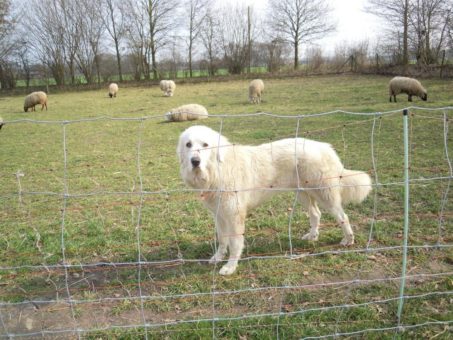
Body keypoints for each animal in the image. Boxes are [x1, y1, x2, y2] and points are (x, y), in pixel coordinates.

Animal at [177, 126, 370, 274]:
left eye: (205, 145)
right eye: (188, 145)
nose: (195, 161)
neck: (217, 169)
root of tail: (325, 147)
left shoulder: (234, 215)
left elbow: (235, 243)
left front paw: (230, 267)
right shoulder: (219, 214)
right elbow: (223, 239)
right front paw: (217, 257)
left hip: (324, 193)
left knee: (343, 216)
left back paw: (348, 239)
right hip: (303, 194)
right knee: (316, 214)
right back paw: (312, 236)